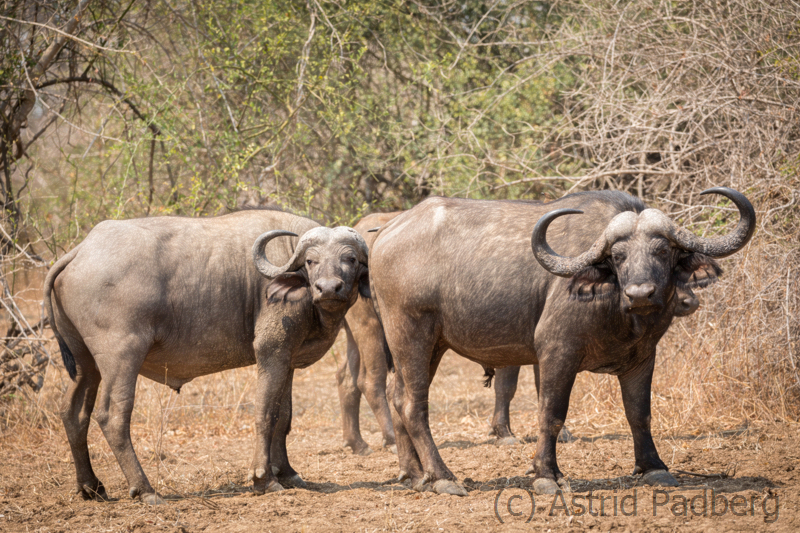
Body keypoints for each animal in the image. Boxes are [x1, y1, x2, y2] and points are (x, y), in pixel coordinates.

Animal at [44, 209, 369, 504]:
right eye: (312, 261)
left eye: (350, 259)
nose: (329, 288)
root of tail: (80, 251)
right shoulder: (271, 351)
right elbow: (266, 413)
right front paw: (263, 478)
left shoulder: (286, 358)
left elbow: (284, 416)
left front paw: (288, 473)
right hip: (121, 357)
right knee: (113, 416)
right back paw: (146, 490)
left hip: (86, 365)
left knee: (73, 412)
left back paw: (90, 486)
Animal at [369, 188, 754, 495]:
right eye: (618, 257)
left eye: (663, 251)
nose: (640, 293)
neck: (617, 306)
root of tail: (386, 234)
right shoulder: (557, 352)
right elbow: (551, 414)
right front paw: (546, 475)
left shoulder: (643, 357)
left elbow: (639, 414)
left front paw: (654, 467)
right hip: (411, 333)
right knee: (413, 405)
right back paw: (443, 477)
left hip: (432, 344)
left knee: (396, 395)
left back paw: (414, 475)